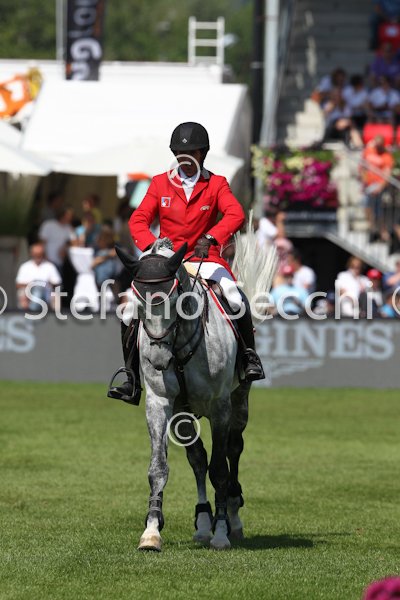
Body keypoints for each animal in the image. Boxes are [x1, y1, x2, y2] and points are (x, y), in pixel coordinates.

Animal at [115, 235, 276, 551]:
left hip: (239, 401)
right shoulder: (159, 403)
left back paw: (232, 516)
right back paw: (202, 522)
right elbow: (159, 468)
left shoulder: (220, 407)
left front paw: (222, 532)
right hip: (184, 413)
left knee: (234, 449)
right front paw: (151, 531)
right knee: (198, 459)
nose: (158, 360)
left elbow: (220, 470)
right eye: (137, 304)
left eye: (175, 301)